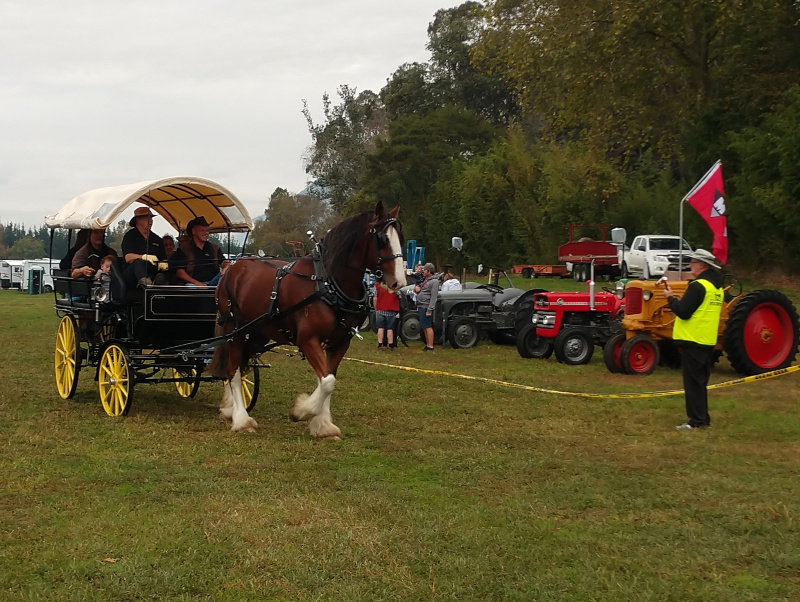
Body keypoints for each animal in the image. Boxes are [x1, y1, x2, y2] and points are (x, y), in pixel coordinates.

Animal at [206, 202, 406, 436]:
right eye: (382, 239)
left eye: (400, 238)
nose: (399, 282)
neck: (328, 283)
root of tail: (233, 267)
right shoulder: (308, 339)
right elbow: (327, 381)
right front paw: (301, 411)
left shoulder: (339, 343)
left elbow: (328, 379)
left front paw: (323, 425)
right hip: (234, 330)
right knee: (233, 371)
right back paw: (241, 419)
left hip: (257, 333)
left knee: (241, 365)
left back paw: (229, 409)